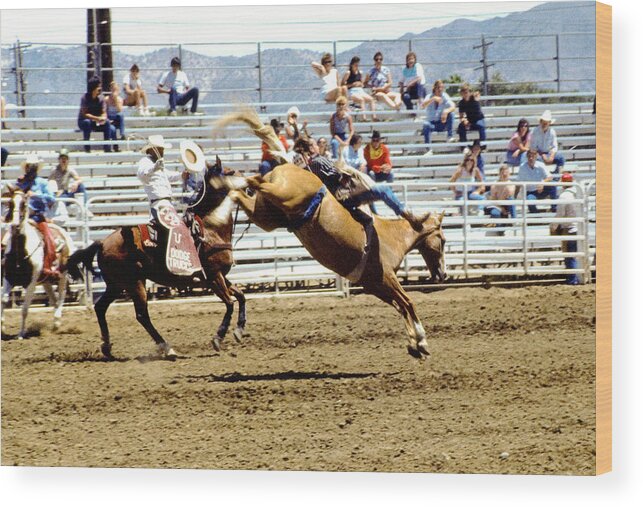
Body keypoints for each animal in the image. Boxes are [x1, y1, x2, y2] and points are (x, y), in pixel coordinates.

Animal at [1, 190, 74, 342]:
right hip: (46, 280)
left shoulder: (32, 282)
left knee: (61, 295)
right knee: (53, 300)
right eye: (10, 203)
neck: (20, 251)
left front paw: (21, 334)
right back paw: (54, 325)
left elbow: (25, 309)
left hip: (63, 275)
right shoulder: (8, 278)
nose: (14, 224)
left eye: (23, 204)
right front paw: (2, 329)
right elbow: (3, 300)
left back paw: (57, 322)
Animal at [66, 157, 247, 360]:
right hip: (134, 283)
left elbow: (240, 296)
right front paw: (218, 338)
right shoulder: (213, 276)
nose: (249, 185)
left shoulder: (221, 275)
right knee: (141, 315)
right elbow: (229, 303)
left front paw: (239, 330)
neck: (211, 228)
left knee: (101, 308)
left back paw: (107, 347)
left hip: (116, 285)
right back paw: (167, 348)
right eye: (231, 172)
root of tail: (103, 243)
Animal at [214, 111, 446, 360]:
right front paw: (422, 341)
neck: (391, 236)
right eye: (443, 241)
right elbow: (408, 302)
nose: (443, 273)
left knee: (241, 192)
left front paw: (414, 344)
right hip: (282, 195)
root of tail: (286, 167)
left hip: (266, 215)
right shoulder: (386, 277)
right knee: (253, 181)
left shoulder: (375, 285)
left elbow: (400, 306)